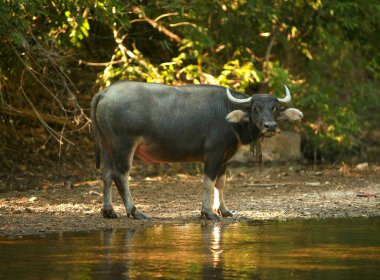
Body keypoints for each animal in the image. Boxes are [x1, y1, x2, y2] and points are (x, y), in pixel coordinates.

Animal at [91, 81, 302, 221]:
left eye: (275, 108)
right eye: (256, 108)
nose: (270, 126)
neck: (229, 116)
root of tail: (104, 92)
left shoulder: (225, 157)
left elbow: (221, 183)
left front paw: (223, 210)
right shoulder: (213, 154)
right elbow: (208, 182)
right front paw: (207, 213)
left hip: (106, 146)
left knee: (106, 175)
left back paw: (109, 211)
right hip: (123, 146)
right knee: (120, 176)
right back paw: (135, 211)